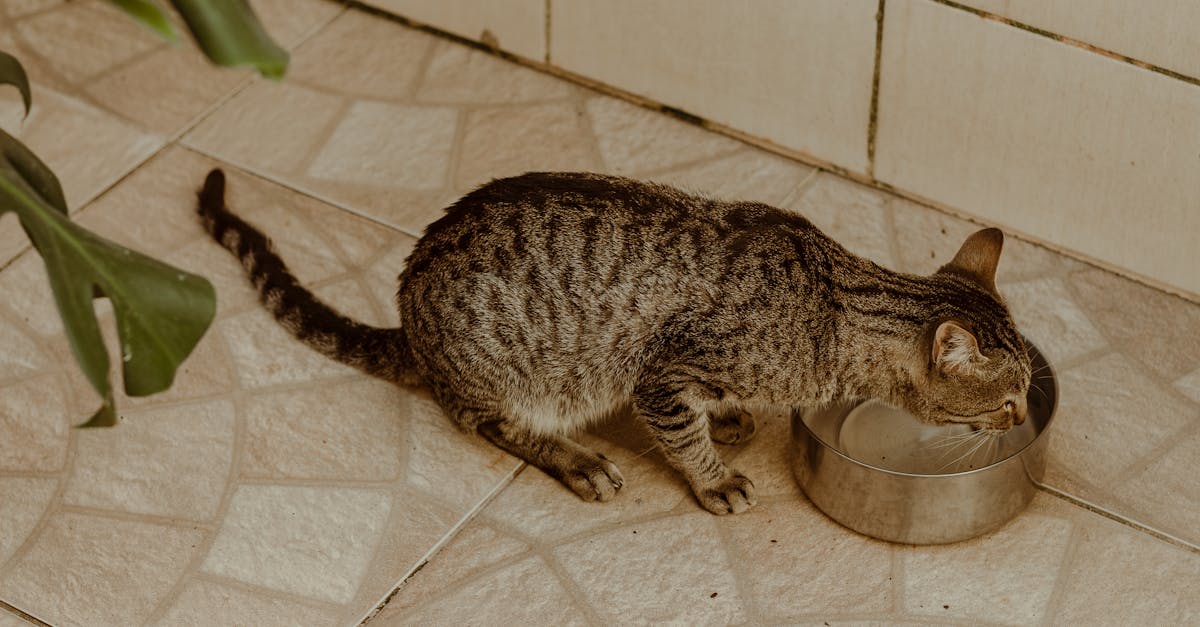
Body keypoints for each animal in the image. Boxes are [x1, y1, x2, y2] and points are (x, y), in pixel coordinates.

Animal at [197, 169, 1031, 515]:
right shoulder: (659, 377)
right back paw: (579, 459)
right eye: (1011, 396)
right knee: (495, 424)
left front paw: (729, 415)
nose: (1023, 417)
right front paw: (714, 477)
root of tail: (410, 319)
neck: (833, 305)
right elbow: (684, 436)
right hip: (511, 376)